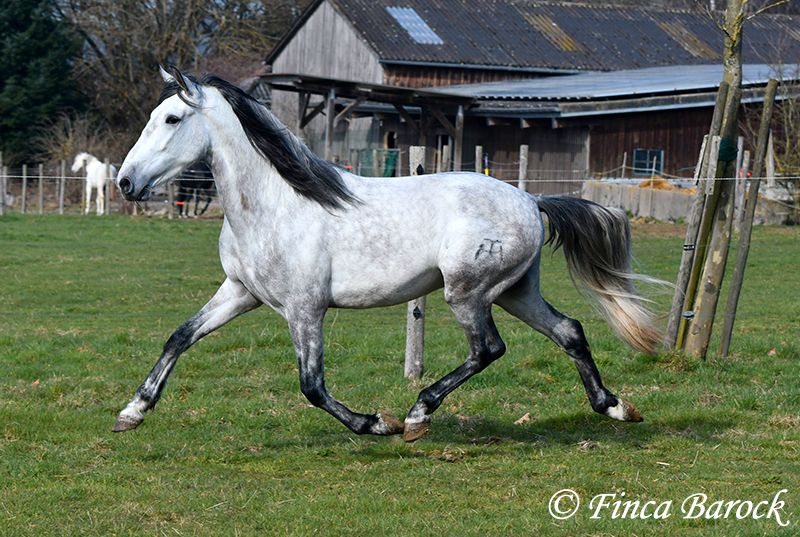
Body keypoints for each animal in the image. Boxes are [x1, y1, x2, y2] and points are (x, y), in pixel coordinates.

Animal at [114, 66, 664, 440]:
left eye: (172, 118)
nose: (125, 182)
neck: (275, 205)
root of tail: (531, 200)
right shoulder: (240, 292)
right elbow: (179, 337)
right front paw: (132, 412)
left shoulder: (304, 308)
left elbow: (311, 385)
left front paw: (377, 423)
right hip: (514, 292)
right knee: (569, 331)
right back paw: (615, 407)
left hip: (468, 293)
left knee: (488, 349)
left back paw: (419, 413)